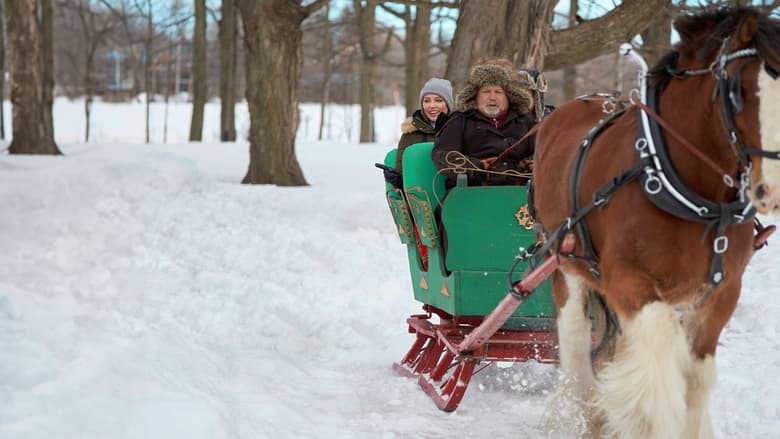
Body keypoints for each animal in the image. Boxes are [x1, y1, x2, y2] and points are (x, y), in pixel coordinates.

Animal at [532, 6, 780, 439]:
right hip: (564, 260)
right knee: (576, 340)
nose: (774, 187)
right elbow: (658, 363)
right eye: (738, 90)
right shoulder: (627, 281)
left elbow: (694, 376)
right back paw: (584, 416)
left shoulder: (723, 292)